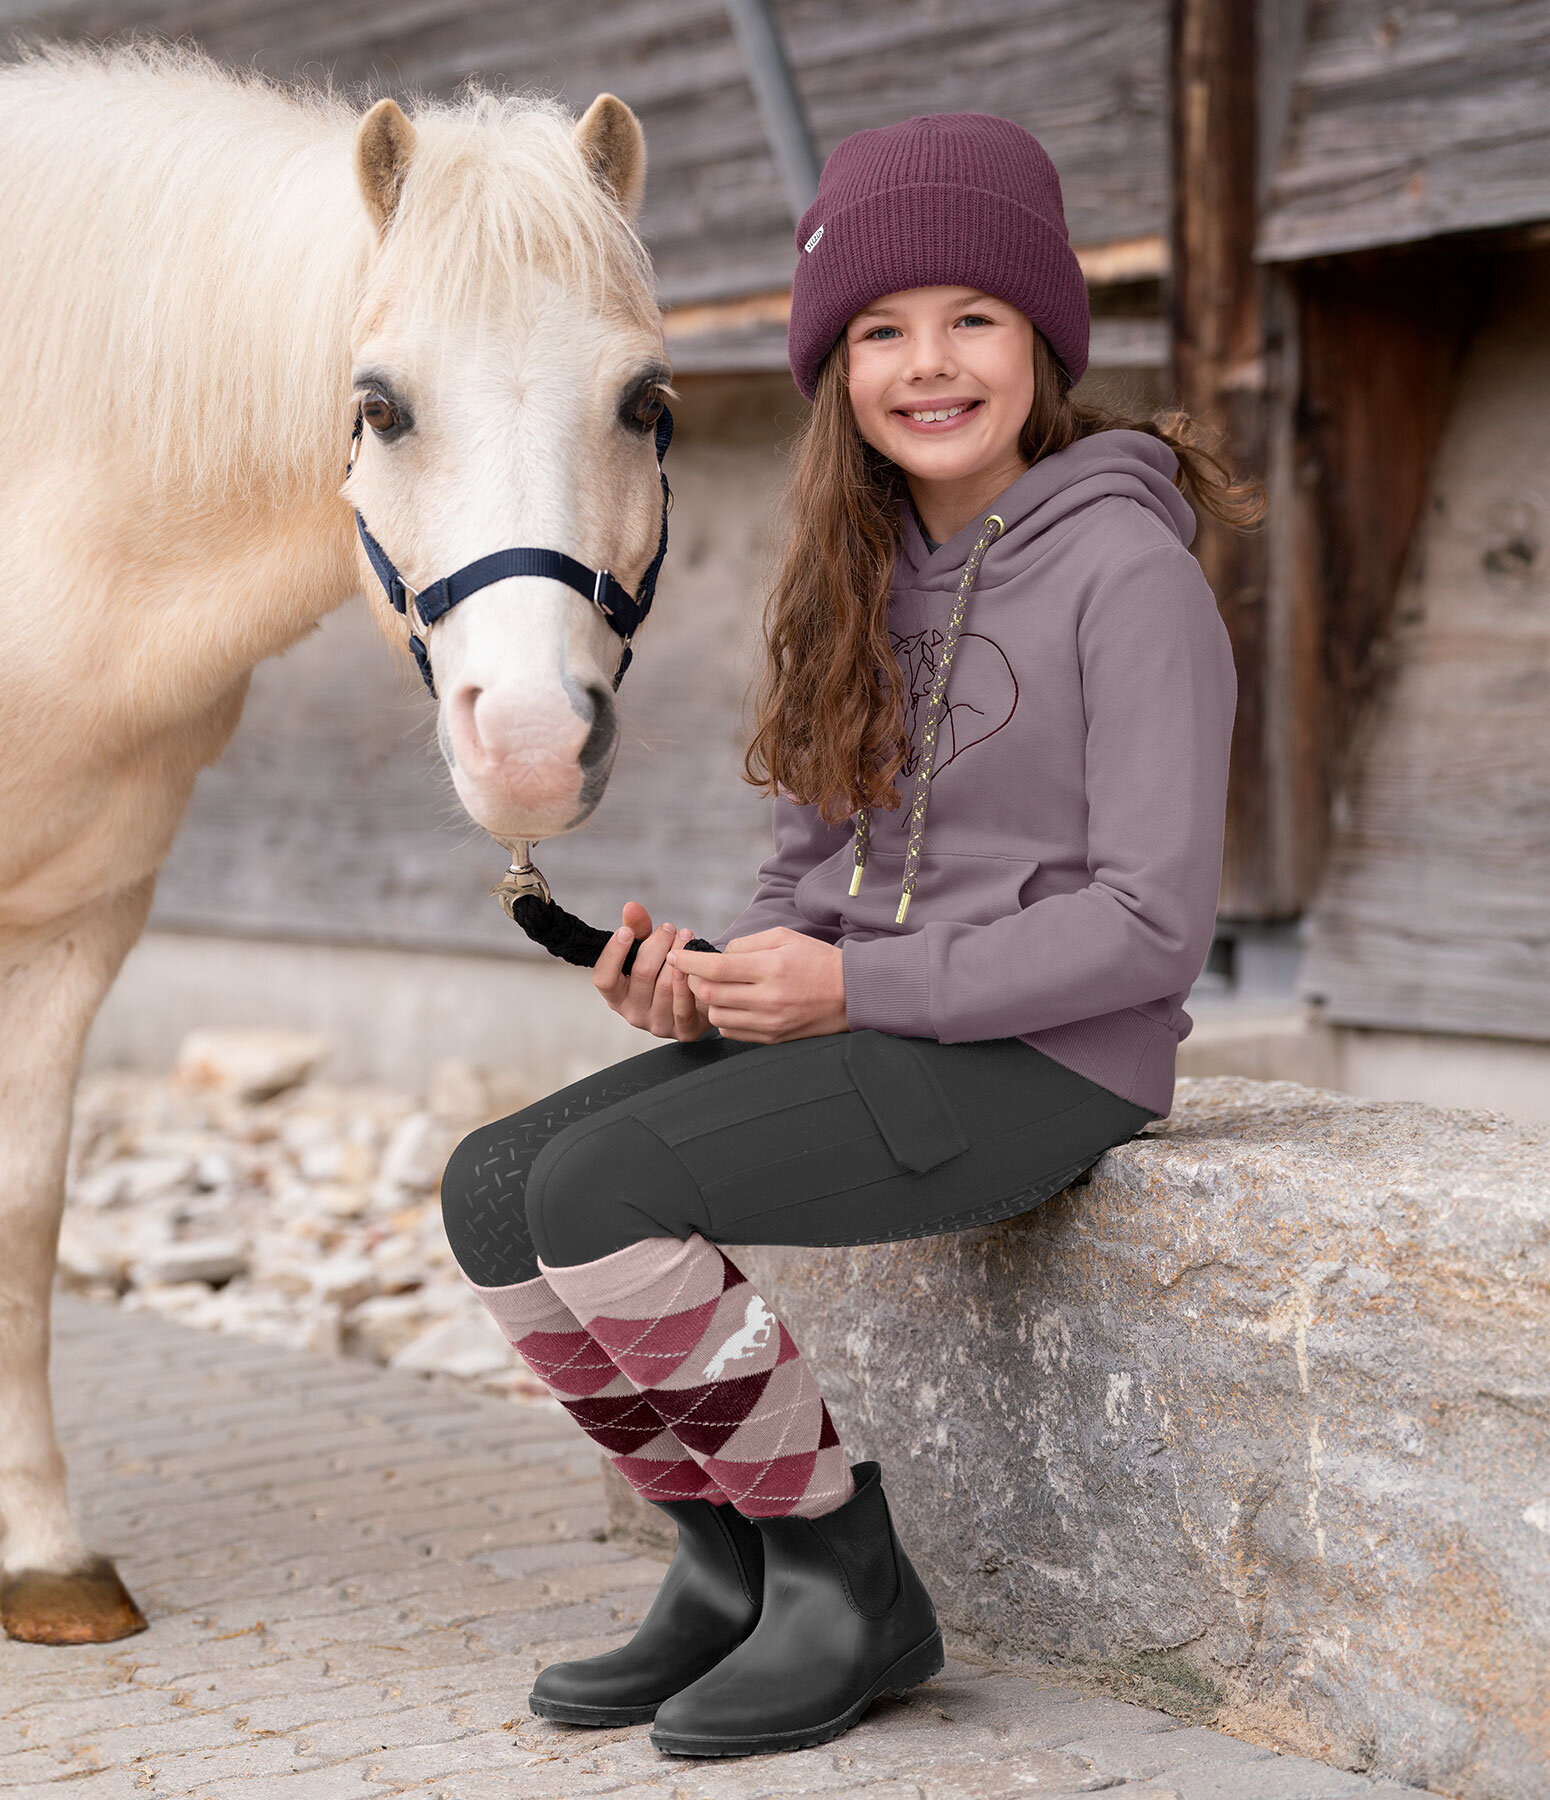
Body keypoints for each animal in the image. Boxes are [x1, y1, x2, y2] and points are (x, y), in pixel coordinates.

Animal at [0, 42, 669, 1648]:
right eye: (381, 405)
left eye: (643, 402)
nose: (533, 740)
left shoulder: (75, 924)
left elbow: (23, 1207)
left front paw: (38, 1555)